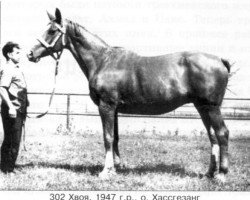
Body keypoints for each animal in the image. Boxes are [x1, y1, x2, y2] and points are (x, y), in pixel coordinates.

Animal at [27, 8, 230, 181]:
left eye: (52, 31)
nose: (30, 54)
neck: (103, 61)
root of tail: (220, 60)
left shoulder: (106, 106)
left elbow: (107, 137)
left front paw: (106, 171)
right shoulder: (114, 108)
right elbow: (115, 136)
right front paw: (117, 166)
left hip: (212, 107)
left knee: (222, 133)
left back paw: (221, 174)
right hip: (202, 107)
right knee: (212, 136)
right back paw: (209, 173)